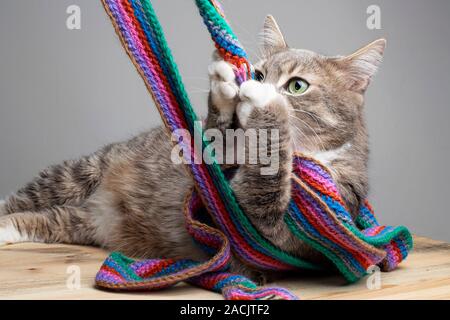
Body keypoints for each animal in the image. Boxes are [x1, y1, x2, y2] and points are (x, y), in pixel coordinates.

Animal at [0, 15, 386, 282]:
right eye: (259, 73)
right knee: (25, 200)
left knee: (47, 220)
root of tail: (98, 206)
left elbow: (262, 189)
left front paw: (267, 106)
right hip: (79, 172)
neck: (308, 153)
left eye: (297, 85)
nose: (253, 84)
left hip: (81, 219)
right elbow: (214, 142)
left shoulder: (292, 230)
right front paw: (225, 88)